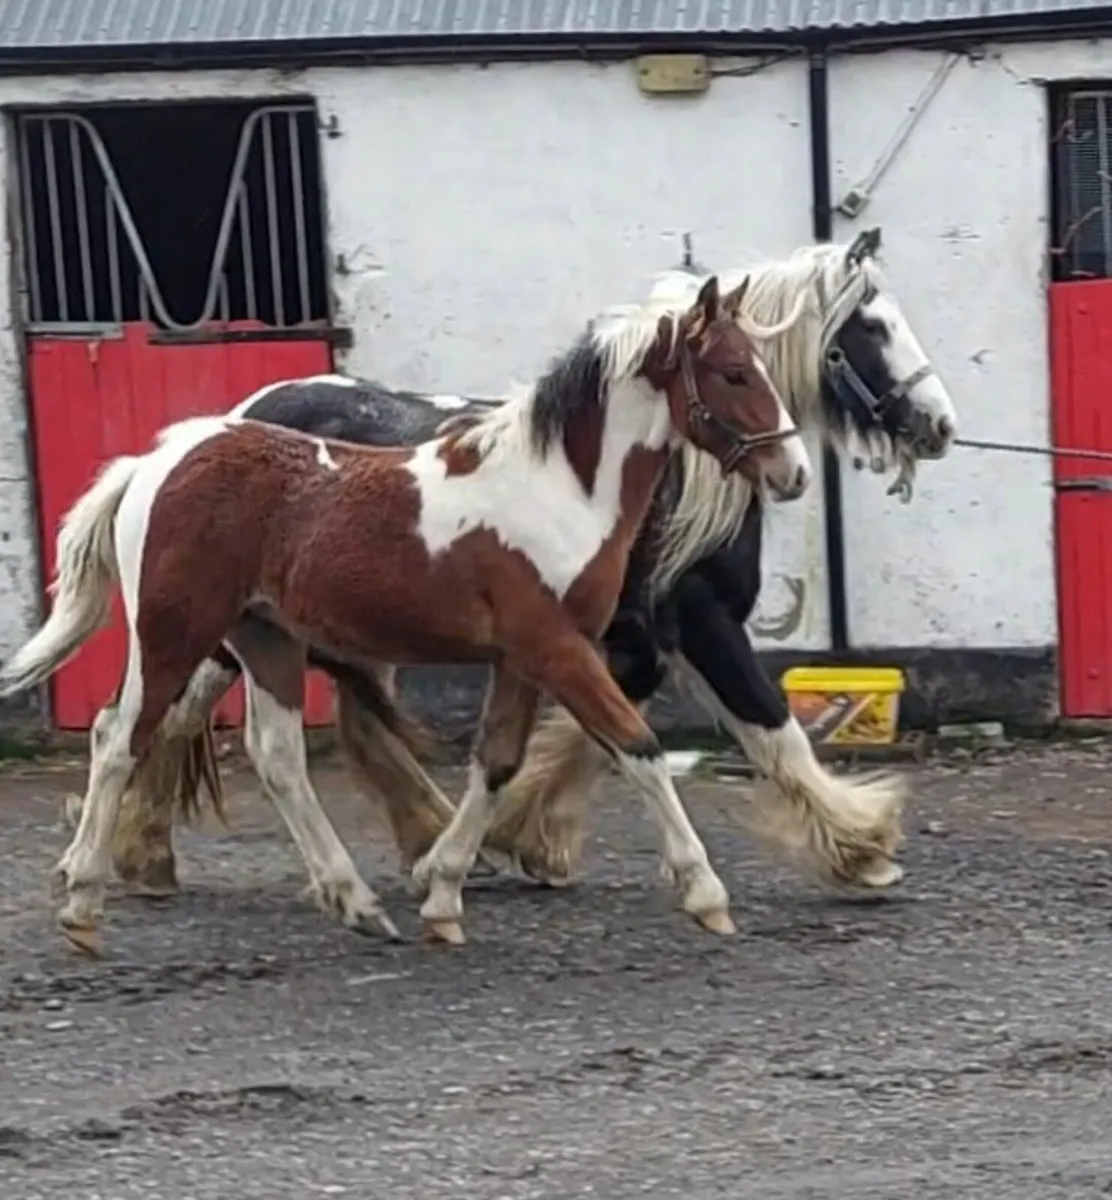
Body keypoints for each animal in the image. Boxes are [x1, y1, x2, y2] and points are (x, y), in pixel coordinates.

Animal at [2, 275, 811, 954]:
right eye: (733, 373)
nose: (793, 473)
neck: (558, 487)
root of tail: (153, 463)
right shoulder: (558, 647)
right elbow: (638, 747)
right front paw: (706, 894)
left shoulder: (522, 657)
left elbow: (497, 763)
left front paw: (443, 895)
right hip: (175, 633)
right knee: (119, 738)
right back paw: (82, 905)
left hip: (263, 638)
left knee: (275, 756)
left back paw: (355, 901)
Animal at [67, 228, 958, 903]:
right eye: (870, 327)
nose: (940, 423)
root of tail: (231, 417)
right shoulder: (698, 627)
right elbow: (772, 737)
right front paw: (863, 846)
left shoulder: (607, 638)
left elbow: (577, 739)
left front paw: (519, 840)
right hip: (229, 625)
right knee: (162, 717)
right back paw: (140, 853)